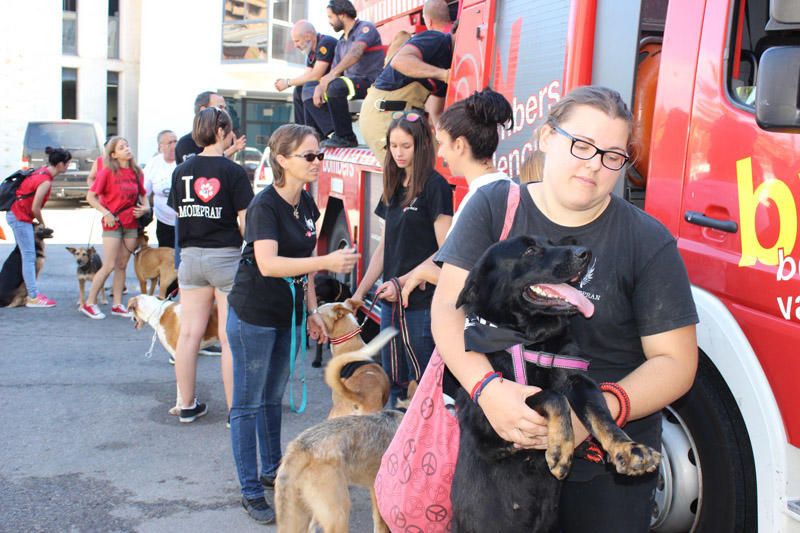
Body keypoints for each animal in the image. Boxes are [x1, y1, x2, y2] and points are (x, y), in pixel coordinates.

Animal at [454, 237, 660, 532]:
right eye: (530, 250)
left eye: (552, 242)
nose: (585, 253)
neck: (532, 342)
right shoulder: (491, 430)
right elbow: (550, 396)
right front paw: (561, 448)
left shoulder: (577, 378)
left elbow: (600, 413)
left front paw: (627, 448)